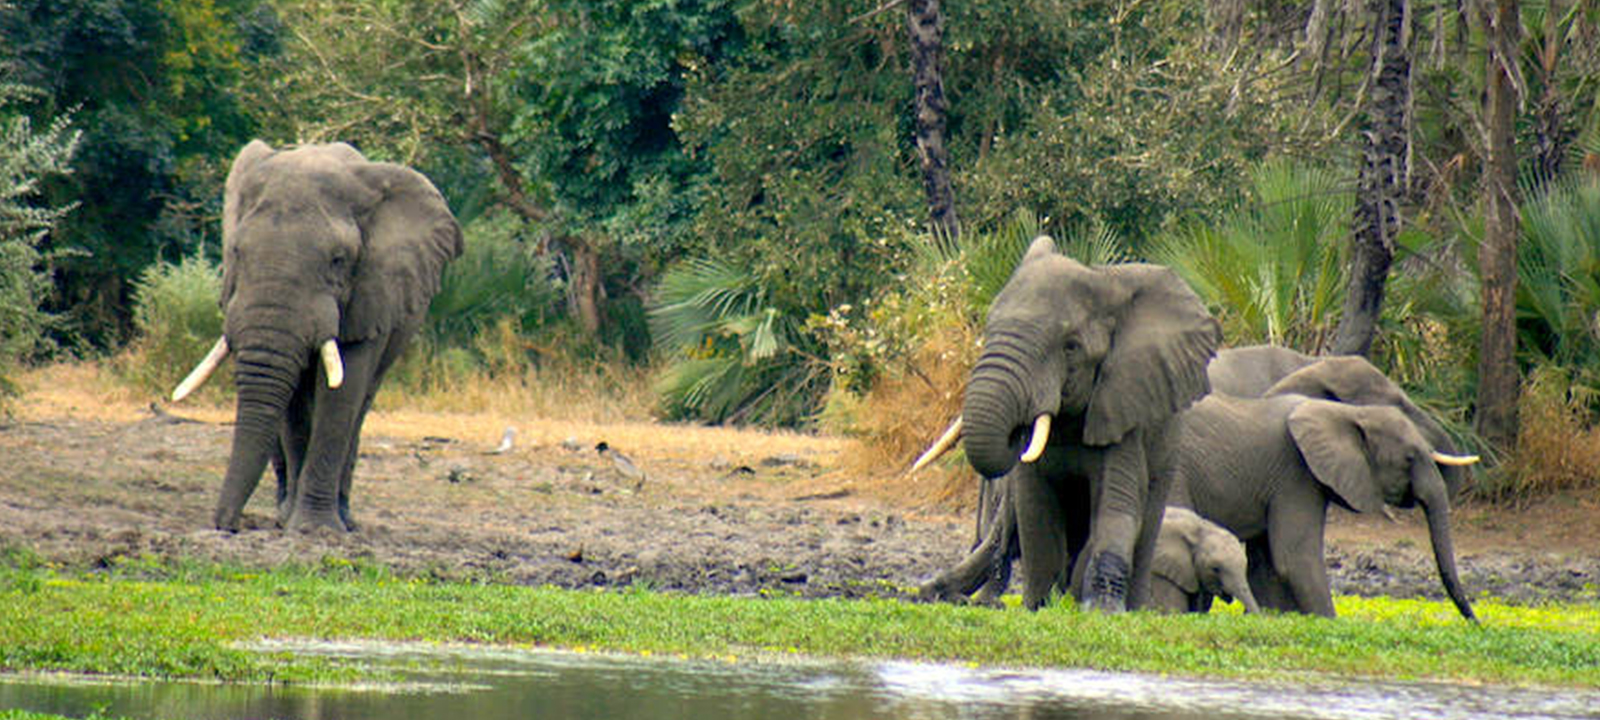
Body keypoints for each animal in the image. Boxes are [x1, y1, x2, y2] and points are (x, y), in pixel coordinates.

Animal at [170, 140, 463, 532]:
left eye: (338, 260)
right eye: (236, 252)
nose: (227, 525)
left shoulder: (370, 292)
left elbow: (342, 393)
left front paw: (314, 529)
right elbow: (293, 406)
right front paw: (291, 524)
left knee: (360, 407)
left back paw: (343, 518)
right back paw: (285, 510)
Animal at [920, 236, 1221, 611]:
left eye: (1071, 347)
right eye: (987, 330)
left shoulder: (1122, 408)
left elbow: (1116, 503)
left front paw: (1103, 612)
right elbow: (1035, 507)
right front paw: (1040, 607)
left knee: (1146, 517)